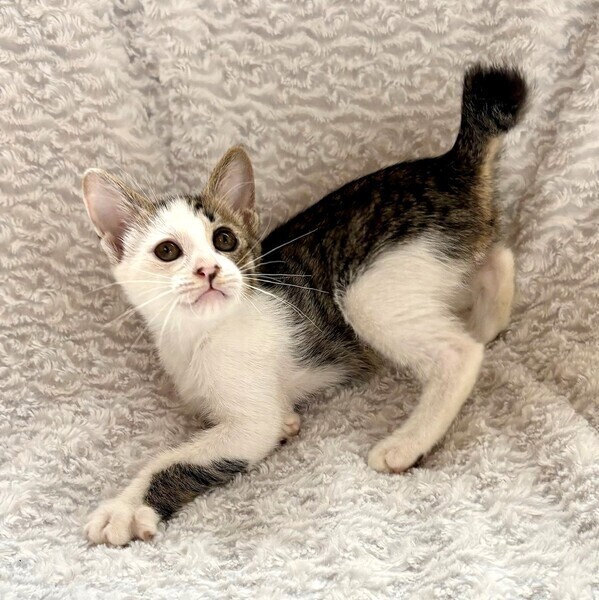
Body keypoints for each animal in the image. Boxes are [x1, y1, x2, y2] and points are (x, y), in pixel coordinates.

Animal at [82, 64, 527, 546]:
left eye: (225, 240)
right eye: (167, 251)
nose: (208, 270)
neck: (199, 334)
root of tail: (450, 165)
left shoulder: (250, 421)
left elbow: (178, 458)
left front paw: (125, 508)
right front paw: (289, 426)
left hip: (366, 286)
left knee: (459, 353)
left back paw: (407, 442)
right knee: (498, 258)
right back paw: (485, 320)